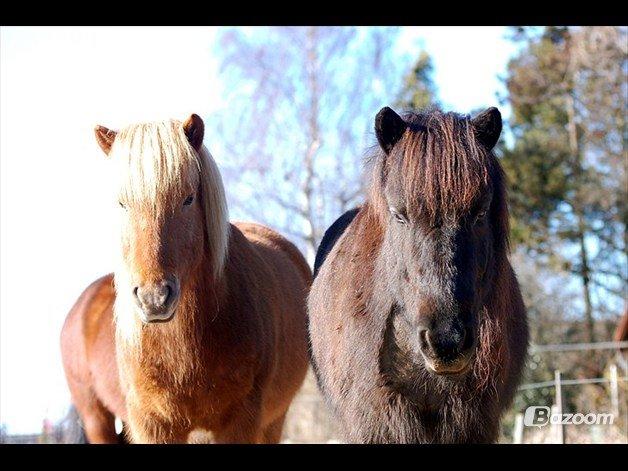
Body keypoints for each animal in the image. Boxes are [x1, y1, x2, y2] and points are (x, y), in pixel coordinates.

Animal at [61, 114, 312, 442]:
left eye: (188, 199)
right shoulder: (152, 425)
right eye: (121, 204)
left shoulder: (241, 423)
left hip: (273, 420)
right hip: (95, 418)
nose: (154, 299)